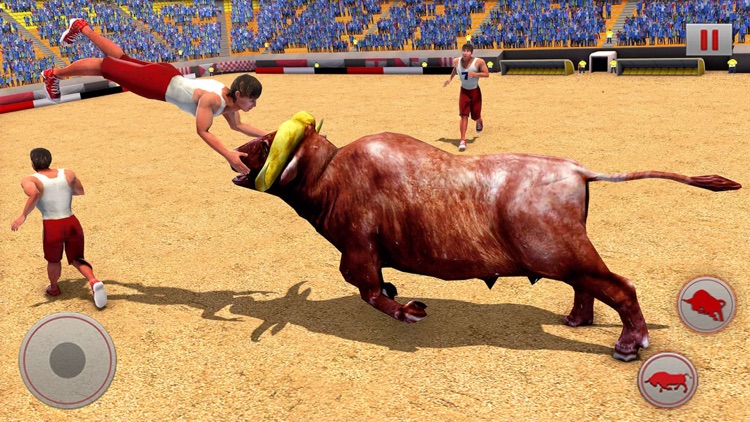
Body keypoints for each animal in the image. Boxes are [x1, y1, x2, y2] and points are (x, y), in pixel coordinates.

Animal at [232, 112, 741, 362]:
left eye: (265, 144)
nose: (236, 152)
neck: (331, 175)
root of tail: (578, 170)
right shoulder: (369, 257)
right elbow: (378, 286)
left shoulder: (359, 250)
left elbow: (370, 291)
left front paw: (411, 311)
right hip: (566, 255)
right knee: (588, 288)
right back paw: (575, 321)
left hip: (559, 253)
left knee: (620, 286)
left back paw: (628, 346)